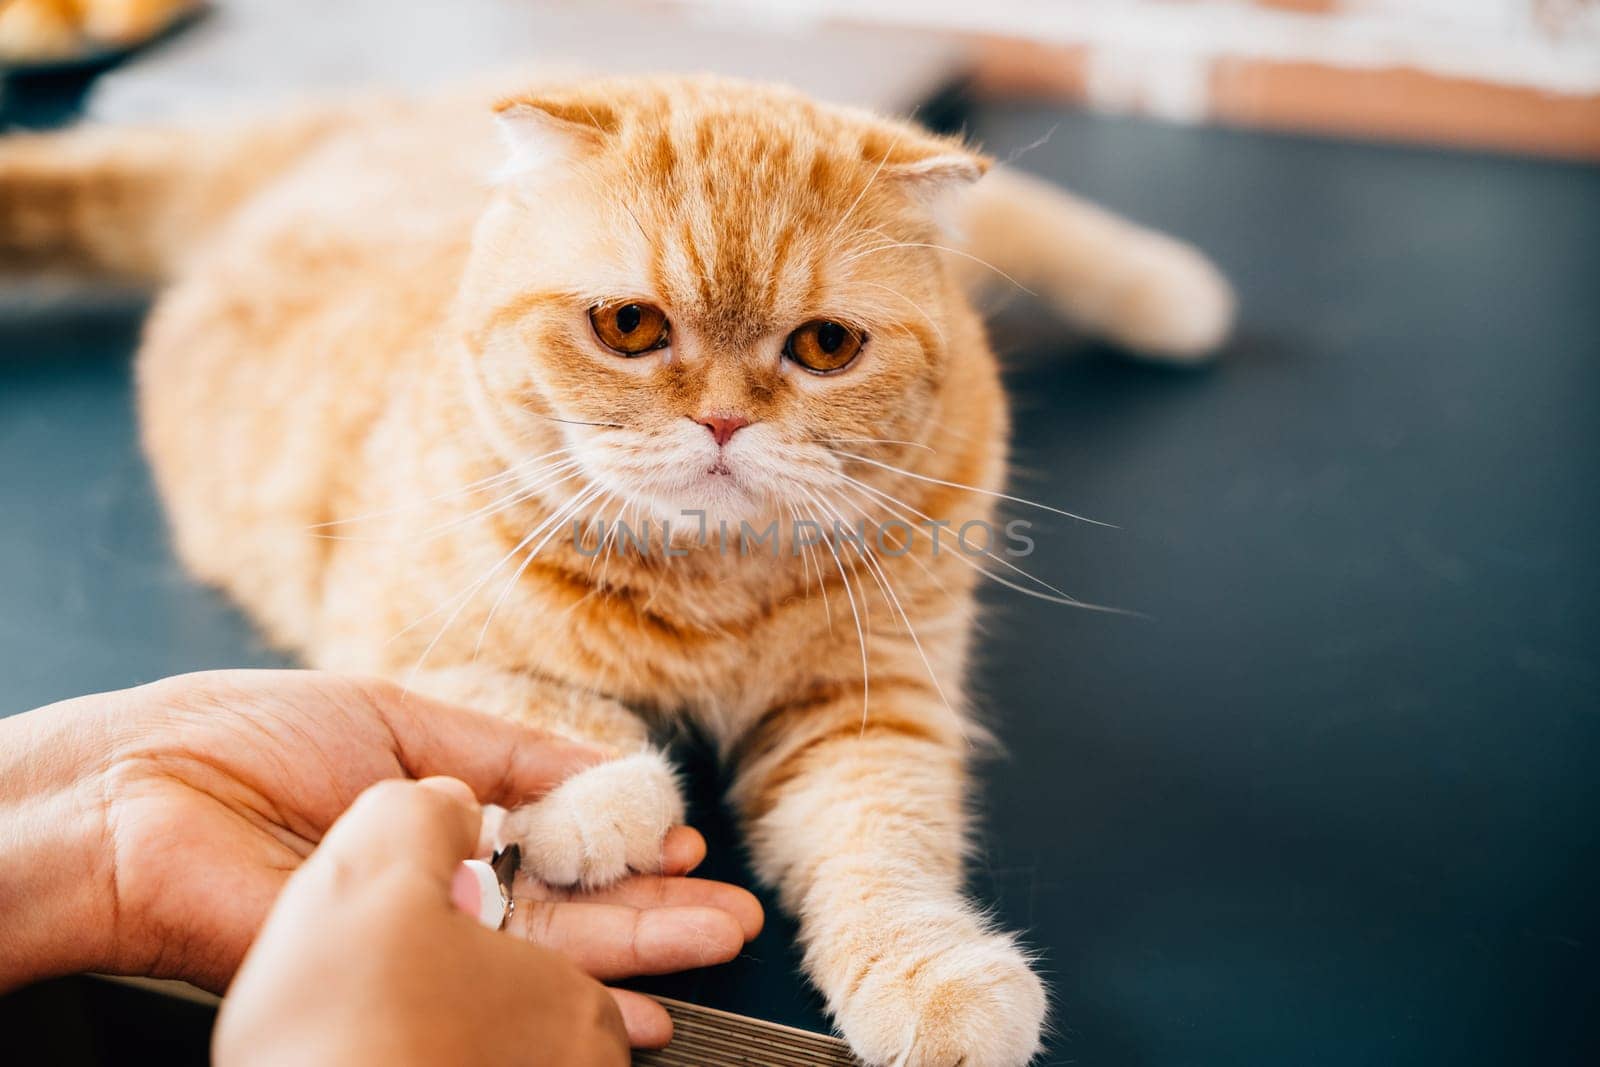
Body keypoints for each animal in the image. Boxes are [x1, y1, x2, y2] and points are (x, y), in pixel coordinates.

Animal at [0, 75, 1228, 1067]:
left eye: (826, 347)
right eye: (630, 326)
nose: (724, 421)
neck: (714, 577)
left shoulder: (870, 709)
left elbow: (884, 843)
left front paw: (931, 974)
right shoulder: (394, 637)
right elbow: (568, 724)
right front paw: (597, 808)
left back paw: (1177, 292)